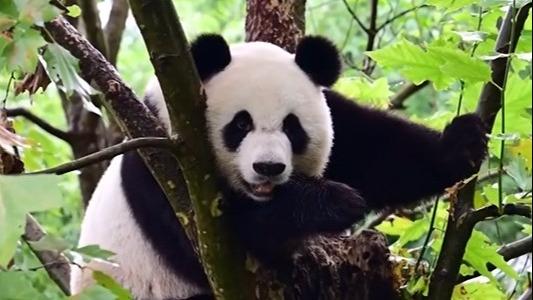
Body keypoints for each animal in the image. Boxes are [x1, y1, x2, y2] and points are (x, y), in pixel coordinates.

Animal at [70, 34, 486, 298]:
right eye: (240, 124)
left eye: (292, 127)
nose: (267, 167)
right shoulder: (165, 166)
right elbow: (227, 236)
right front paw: (334, 203)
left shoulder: (337, 117)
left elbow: (377, 151)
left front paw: (462, 145)